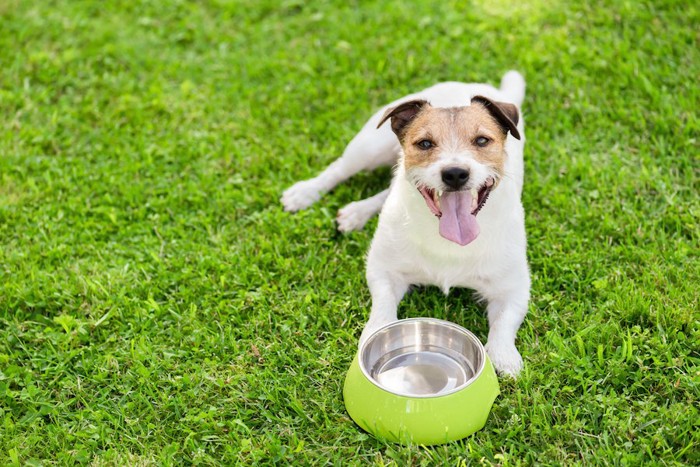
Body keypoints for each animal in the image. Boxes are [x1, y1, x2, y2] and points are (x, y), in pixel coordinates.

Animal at [282, 71, 528, 376]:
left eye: (482, 141)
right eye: (425, 144)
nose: (455, 174)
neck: (446, 239)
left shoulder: (514, 288)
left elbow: (503, 325)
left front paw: (504, 357)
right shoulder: (384, 270)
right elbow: (383, 309)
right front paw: (374, 335)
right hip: (368, 147)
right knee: (340, 169)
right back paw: (305, 193)